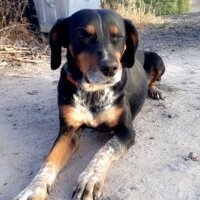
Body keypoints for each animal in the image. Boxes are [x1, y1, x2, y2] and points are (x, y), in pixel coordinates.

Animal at [13, 8, 164, 199]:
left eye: (118, 36)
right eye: (84, 36)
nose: (111, 68)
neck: (93, 91)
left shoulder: (127, 131)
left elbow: (105, 150)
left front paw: (90, 179)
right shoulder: (69, 132)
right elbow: (49, 160)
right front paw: (33, 189)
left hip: (158, 61)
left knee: (153, 80)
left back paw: (155, 90)